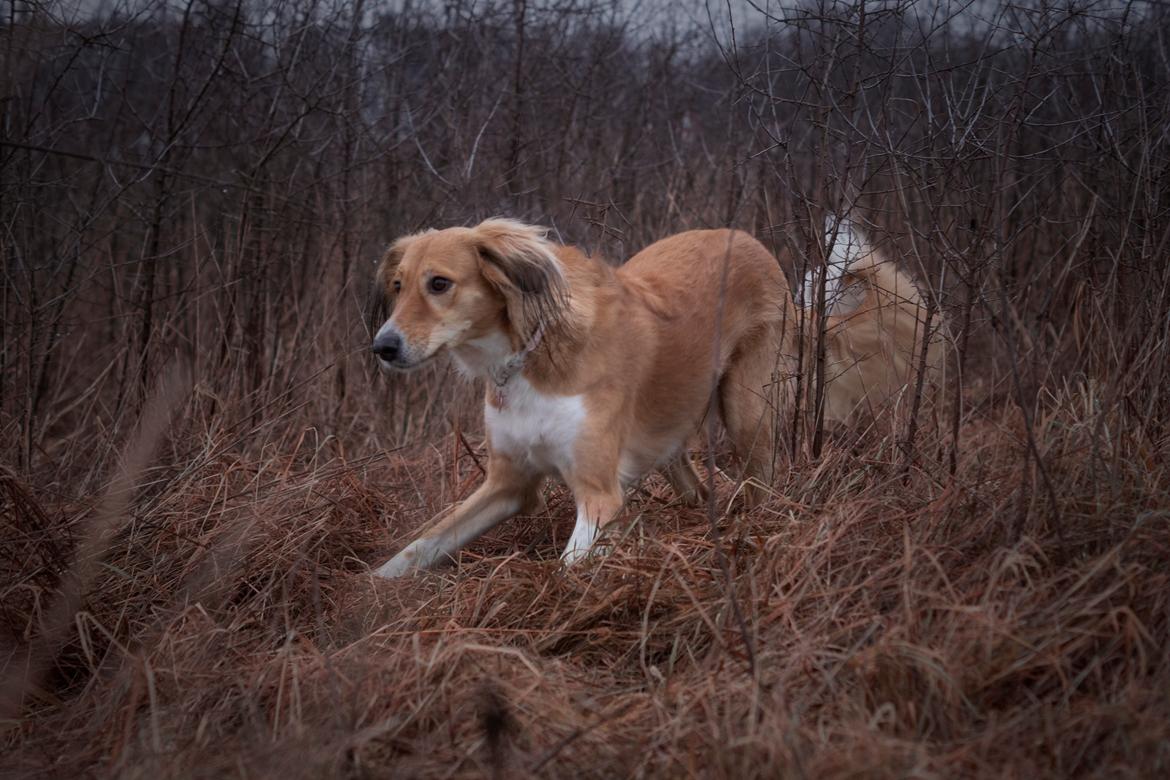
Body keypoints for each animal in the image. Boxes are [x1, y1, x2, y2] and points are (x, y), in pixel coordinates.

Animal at [369, 216, 935, 577]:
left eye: (439, 283)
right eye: (397, 286)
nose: (383, 347)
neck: (530, 356)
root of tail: (752, 243)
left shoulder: (599, 495)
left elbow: (566, 569)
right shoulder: (508, 485)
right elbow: (420, 546)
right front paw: (368, 593)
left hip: (747, 410)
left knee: (763, 483)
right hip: (670, 433)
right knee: (692, 481)